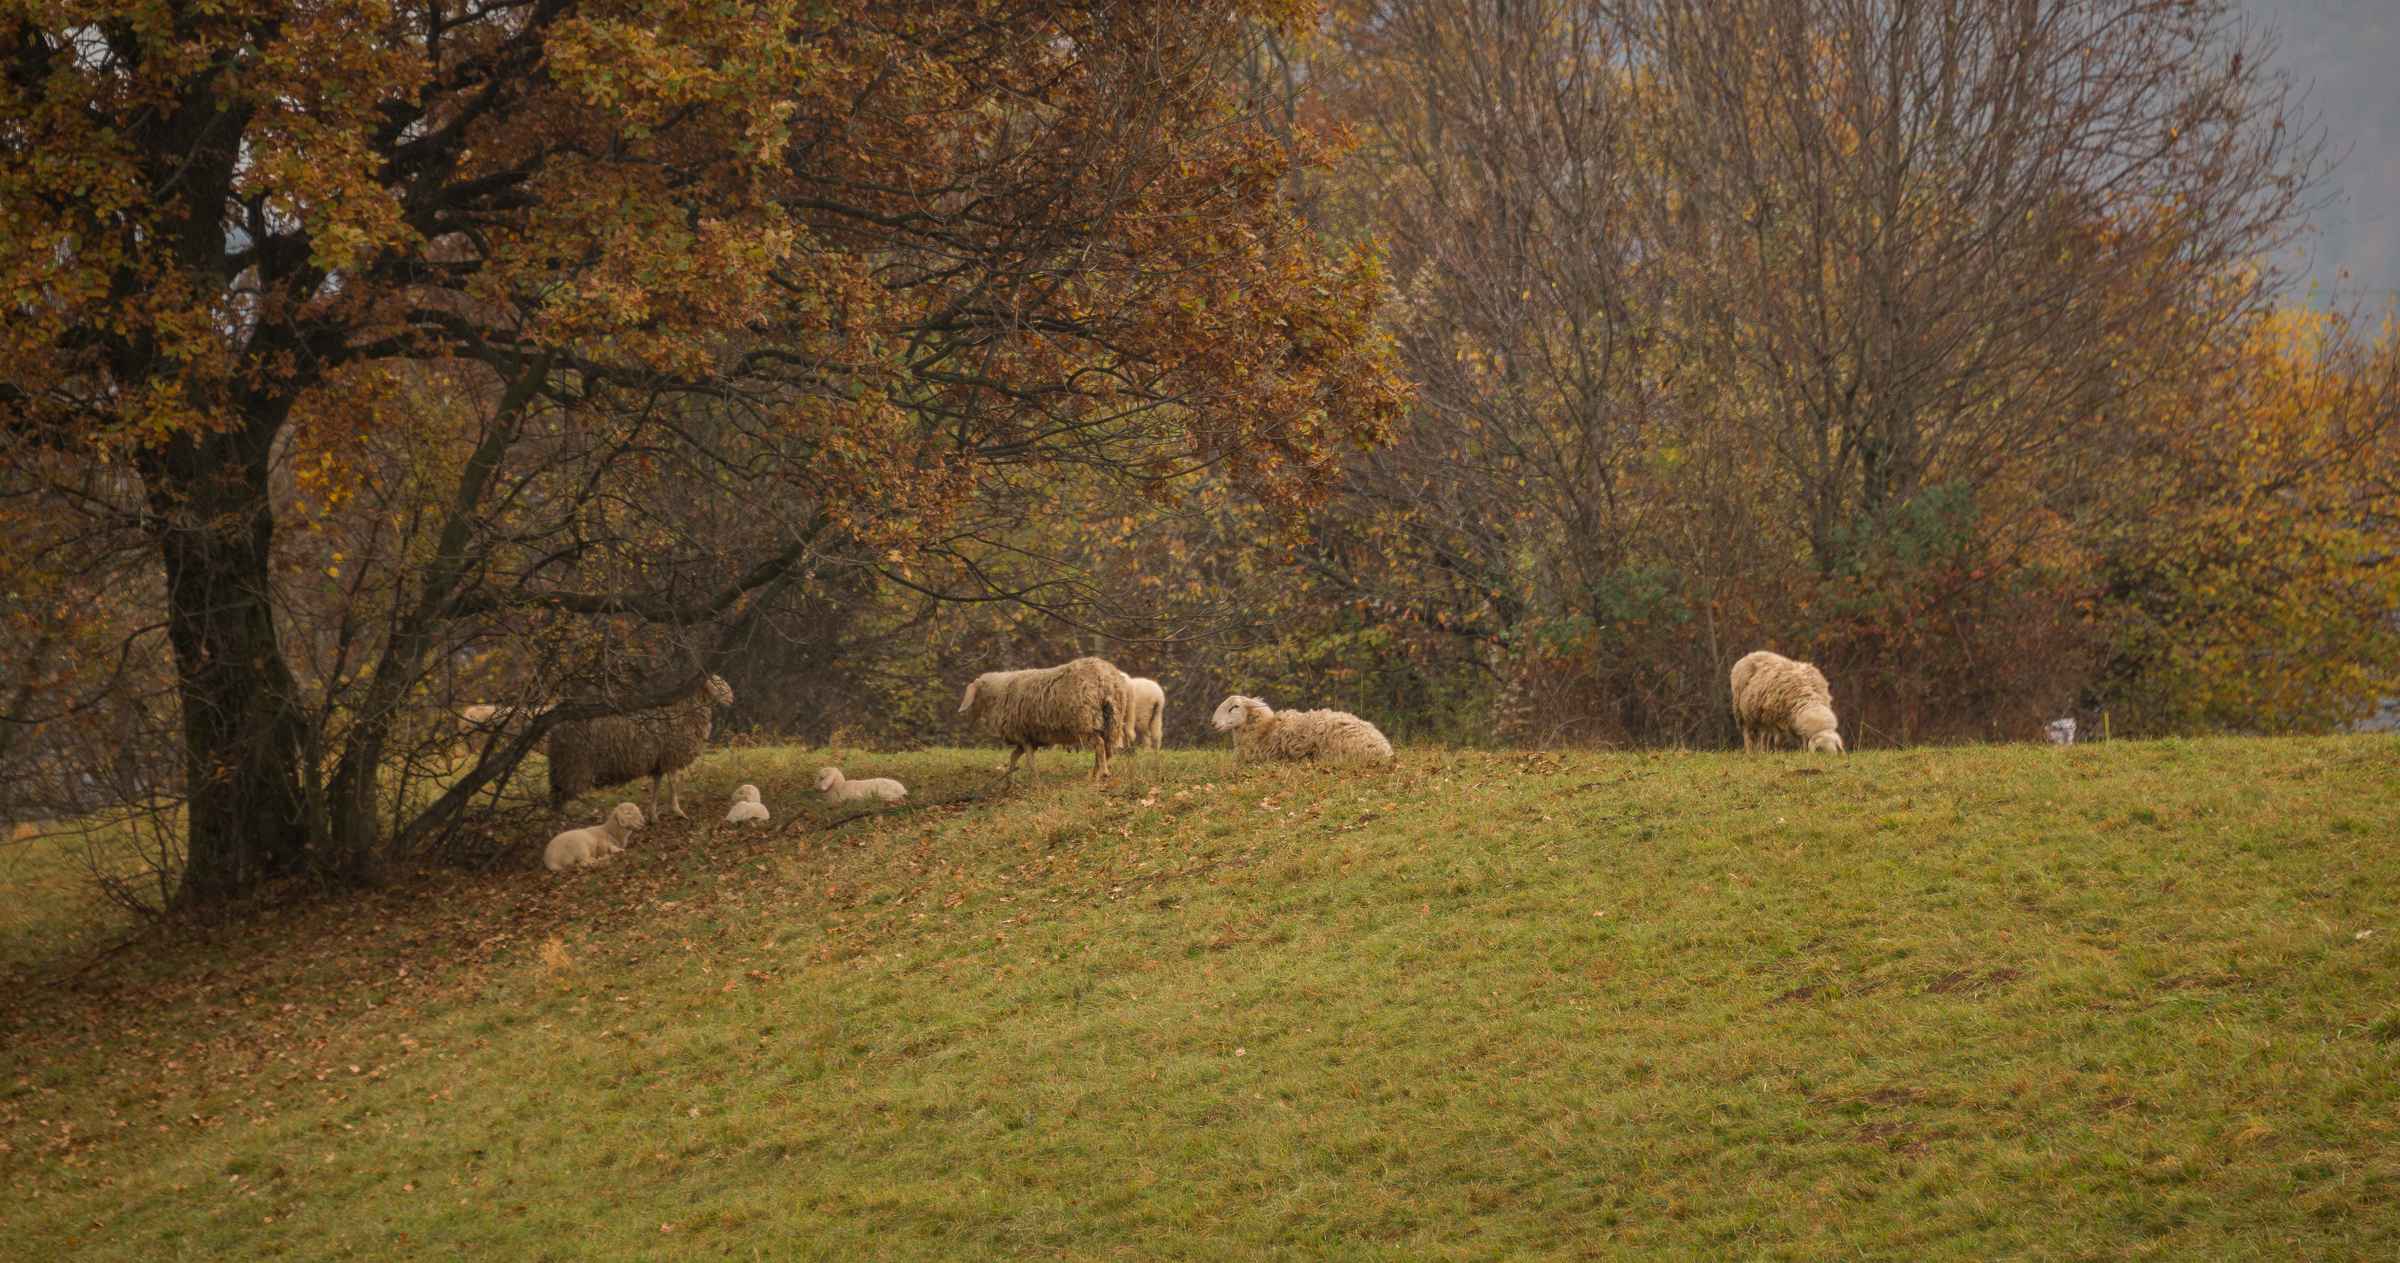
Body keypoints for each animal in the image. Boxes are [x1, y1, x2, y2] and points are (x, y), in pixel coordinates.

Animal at [545, 673, 735, 819]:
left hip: (562, 767)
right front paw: (678, 811)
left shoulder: (659, 761)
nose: (732, 698)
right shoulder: (671, 755)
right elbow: (673, 783)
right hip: (575, 766)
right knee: (566, 799)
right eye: (716, 683)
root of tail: (557, 730)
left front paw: (653, 815)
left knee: (557, 799)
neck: (686, 709)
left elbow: (656, 786)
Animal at [957, 656, 1134, 784]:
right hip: (1113, 720)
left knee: (1099, 745)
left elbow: (1029, 761)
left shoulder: (1023, 736)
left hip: (1086, 722)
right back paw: (1094, 775)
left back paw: (1101, 774)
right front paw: (1010, 780)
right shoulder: (1029, 738)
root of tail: (1105, 677)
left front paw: (1035, 781)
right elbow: (1014, 756)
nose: (968, 719)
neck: (998, 693)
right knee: (1107, 750)